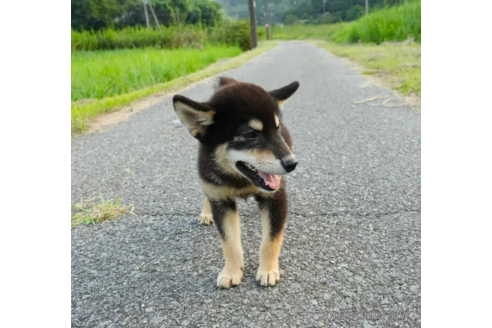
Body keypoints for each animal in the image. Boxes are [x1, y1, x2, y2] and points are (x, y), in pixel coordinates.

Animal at [173, 77, 300, 288]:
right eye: (250, 134)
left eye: (278, 128)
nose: (292, 163)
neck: (241, 181)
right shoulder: (221, 202)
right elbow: (229, 243)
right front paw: (231, 271)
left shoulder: (275, 198)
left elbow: (271, 240)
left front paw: (268, 270)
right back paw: (206, 213)